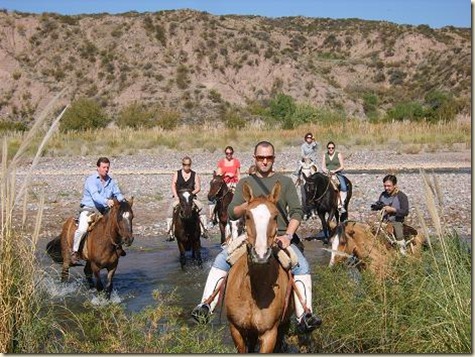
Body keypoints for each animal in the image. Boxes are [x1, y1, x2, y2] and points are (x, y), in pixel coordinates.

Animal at [225, 181, 292, 354]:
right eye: (247, 216)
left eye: (275, 216)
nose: (261, 254)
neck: (252, 289)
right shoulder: (236, 329)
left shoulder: (269, 334)